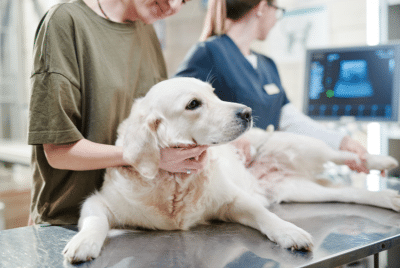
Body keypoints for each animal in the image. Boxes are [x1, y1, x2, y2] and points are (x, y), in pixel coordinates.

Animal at [62, 76, 400, 262]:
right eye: (194, 104)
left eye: (214, 93)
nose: (247, 112)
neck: (175, 181)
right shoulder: (99, 202)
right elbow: (95, 221)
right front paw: (83, 243)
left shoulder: (233, 200)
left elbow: (266, 216)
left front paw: (289, 232)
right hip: (298, 190)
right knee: (349, 192)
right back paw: (389, 198)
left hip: (301, 145)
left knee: (340, 154)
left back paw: (380, 161)